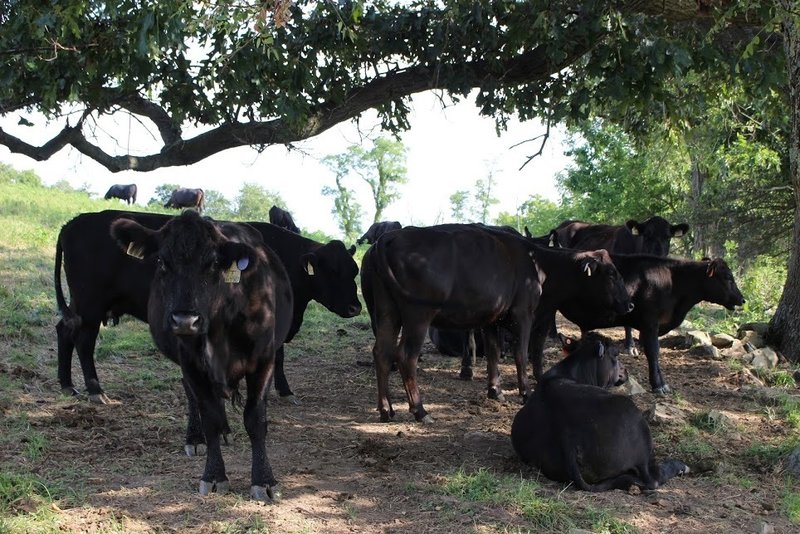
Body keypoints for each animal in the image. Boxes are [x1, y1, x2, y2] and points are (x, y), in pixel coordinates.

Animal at [108, 209, 290, 502]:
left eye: (214, 262)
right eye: (161, 261)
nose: (185, 320)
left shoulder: (264, 359)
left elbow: (255, 418)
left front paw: (264, 480)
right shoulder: (192, 363)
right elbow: (210, 418)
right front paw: (214, 475)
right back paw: (196, 438)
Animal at [358, 224, 632, 426]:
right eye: (611, 273)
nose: (629, 304)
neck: (537, 264)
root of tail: (387, 239)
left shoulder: (491, 319)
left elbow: (492, 352)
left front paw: (495, 390)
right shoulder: (524, 314)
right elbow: (521, 353)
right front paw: (525, 392)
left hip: (388, 313)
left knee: (382, 353)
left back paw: (386, 409)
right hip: (418, 316)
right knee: (406, 356)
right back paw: (420, 410)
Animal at [512, 336, 688, 494]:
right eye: (616, 355)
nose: (625, 370)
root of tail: (568, 435)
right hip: (637, 429)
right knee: (653, 478)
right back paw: (680, 466)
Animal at [532, 253, 744, 396]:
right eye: (727, 277)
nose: (742, 299)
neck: (672, 281)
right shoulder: (650, 323)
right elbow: (653, 352)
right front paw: (659, 385)